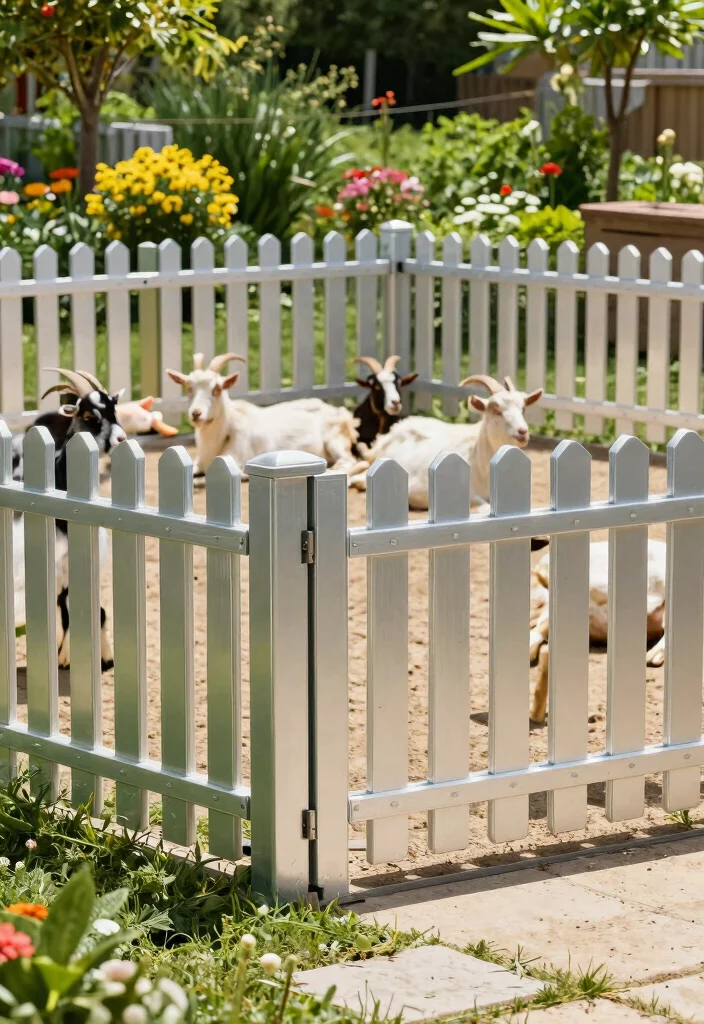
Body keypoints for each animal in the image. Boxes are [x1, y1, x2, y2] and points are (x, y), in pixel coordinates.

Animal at [166, 352, 360, 479]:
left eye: (217, 389)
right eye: (188, 388)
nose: (196, 413)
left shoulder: (238, 459)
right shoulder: (198, 462)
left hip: (334, 439)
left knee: (348, 459)